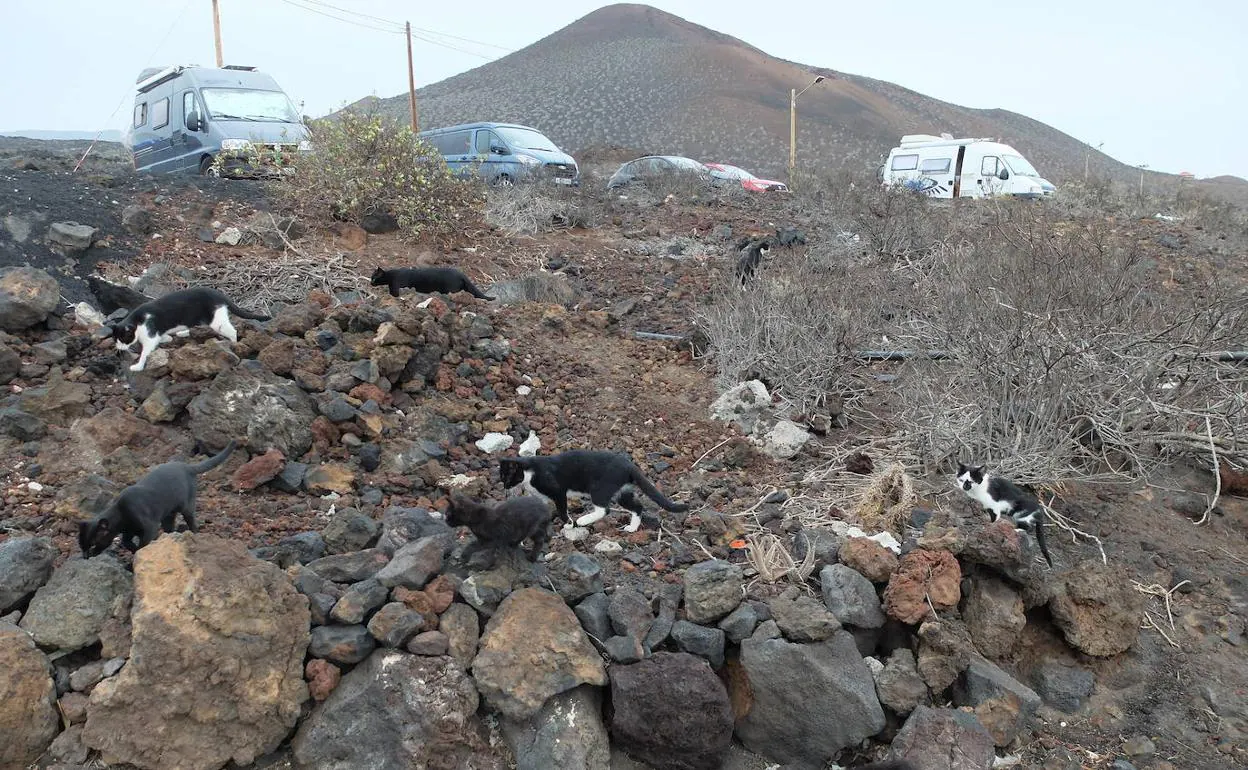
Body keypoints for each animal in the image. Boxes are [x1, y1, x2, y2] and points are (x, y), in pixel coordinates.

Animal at [78, 439, 235, 559]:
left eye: (92, 545)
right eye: (82, 546)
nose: (86, 556)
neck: (121, 514)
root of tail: (186, 466)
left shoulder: (150, 528)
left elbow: (143, 545)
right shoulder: (128, 532)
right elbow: (127, 543)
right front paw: (134, 551)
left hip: (186, 508)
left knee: (192, 524)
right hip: (168, 516)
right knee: (170, 529)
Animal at [110, 288, 270, 371]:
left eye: (123, 339)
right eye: (115, 340)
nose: (119, 348)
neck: (137, 322)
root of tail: (219, 294)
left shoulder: (150, 336)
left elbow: (145, 352)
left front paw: (138, 366)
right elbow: (162, 337)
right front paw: (167, 338)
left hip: (216, 321)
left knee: (232, 331)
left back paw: (234, 344)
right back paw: (182, 332)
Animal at [499, 449, 693, 534]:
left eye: (507, 477)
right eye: (501, 477)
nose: (504, 487)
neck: (530, 472)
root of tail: (629, 464)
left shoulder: (558, 491)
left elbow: (562, 509)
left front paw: (568, 524)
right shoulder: (543, 497)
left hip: (600, 487)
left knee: (604, 509)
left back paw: (583, 520)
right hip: (622, 492)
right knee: (637, 506)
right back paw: (631, 528)